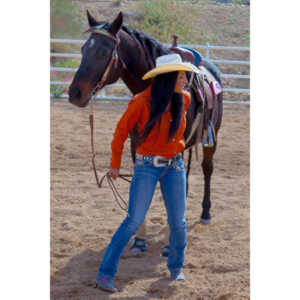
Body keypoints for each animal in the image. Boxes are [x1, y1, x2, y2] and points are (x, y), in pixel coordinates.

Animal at [68, 11, 223, 226]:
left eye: (103, 53)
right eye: (84, 49)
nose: (75, 93)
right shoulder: (137, 146)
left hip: (212, 138)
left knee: (207, 168)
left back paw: (206, 212)